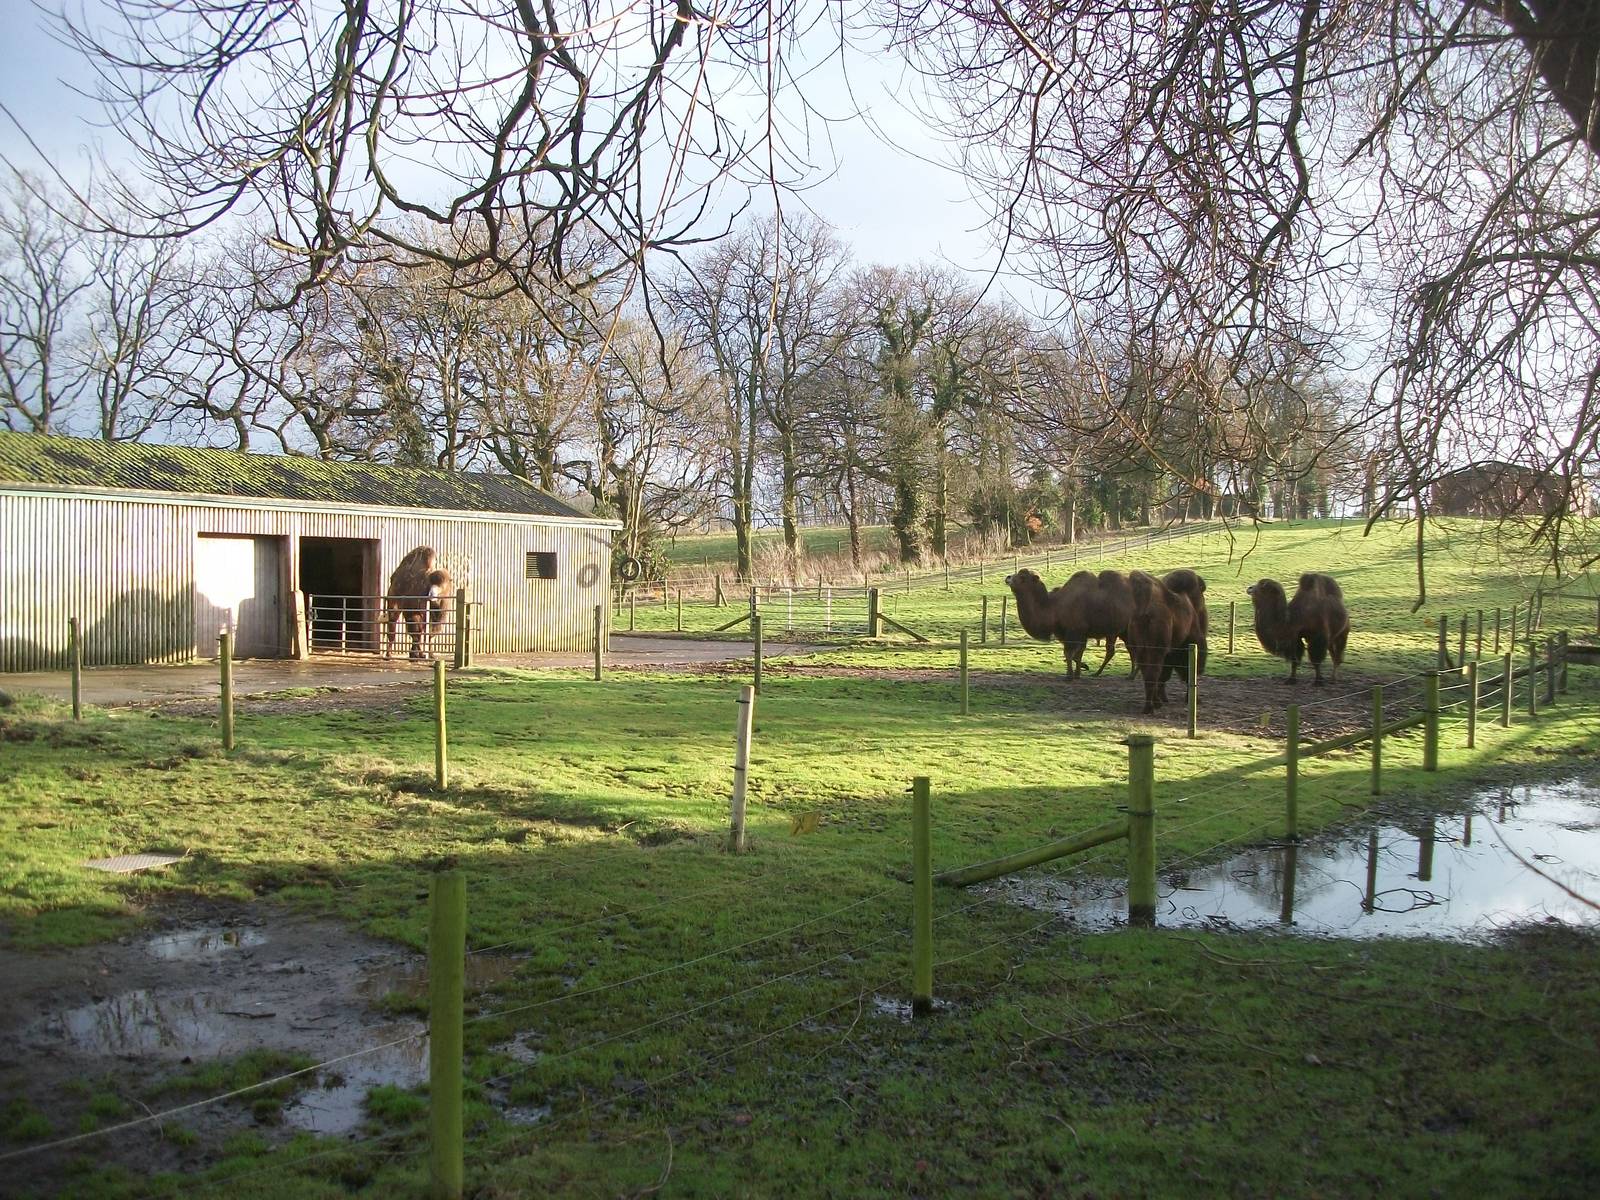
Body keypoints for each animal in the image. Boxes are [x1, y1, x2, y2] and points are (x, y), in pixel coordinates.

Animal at [1005, 568, 1134, 679]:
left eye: (1022, 577)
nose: (1008, 577)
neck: (1054, 608)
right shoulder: (1072, 634)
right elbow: (1077, 654)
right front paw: (1079, 672)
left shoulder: (1075, 631)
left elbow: (1069, 653)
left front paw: (1070, 676)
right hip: (1120, 632)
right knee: (1125, 649)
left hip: (1122, 631)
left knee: (1124, 649)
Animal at [1128, 570, 1202, 714]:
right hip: (1156, 650)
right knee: (1153, 673)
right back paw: (1150, 707)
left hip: (1141, 649)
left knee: (1149, 673)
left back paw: (1154, 704)